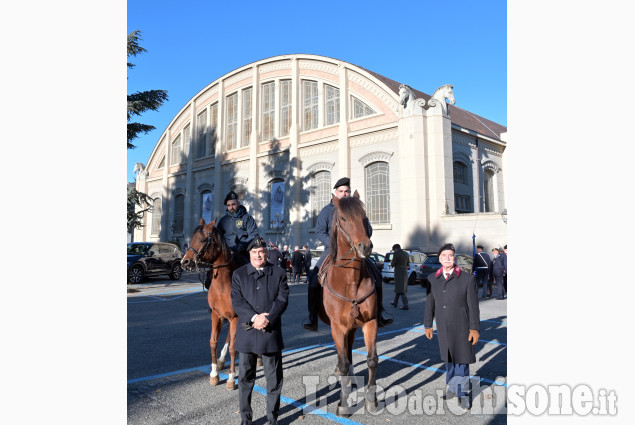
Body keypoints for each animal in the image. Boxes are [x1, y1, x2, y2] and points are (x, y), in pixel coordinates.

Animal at [183, 220, 240, 390]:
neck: (223, 284)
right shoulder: (217, 314)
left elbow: (234, 347)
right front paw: (214, 374)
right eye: (192, 238)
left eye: (202, 240)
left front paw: (231, 379)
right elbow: (213, 342)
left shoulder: (235, 317)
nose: (184, 261)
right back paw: (221, 361)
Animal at [318, 191, 378, 414]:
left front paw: (371, 399)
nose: (365, 246)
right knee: (343, 355)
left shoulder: (370, 322)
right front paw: (343, 404)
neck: (350, 282)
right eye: (343, 218)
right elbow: (343, 362)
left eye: (364, 217)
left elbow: (372, 360)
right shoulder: (337, 326)